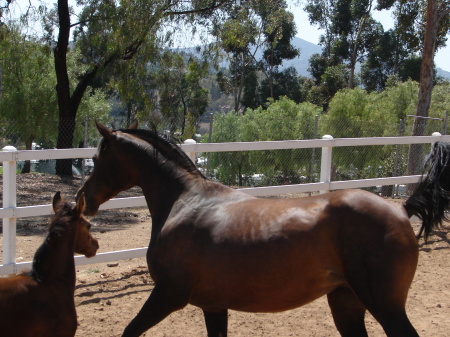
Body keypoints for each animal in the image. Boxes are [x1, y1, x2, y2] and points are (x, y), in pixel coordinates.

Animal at [77, 122, 450, 336]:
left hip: (385, 305)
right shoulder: (213, 306)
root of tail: (400, 209)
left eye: (98, 158)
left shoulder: (168, 294)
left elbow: (129, 331)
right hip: (346, 301)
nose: (84, 200)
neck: (185, 202)